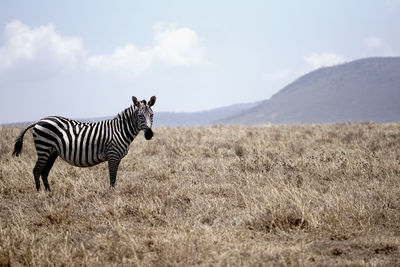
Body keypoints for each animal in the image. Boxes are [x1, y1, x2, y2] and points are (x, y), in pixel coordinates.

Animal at [10, 95, 155, 192]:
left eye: (152, 115)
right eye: (140, 116)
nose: (149, 134)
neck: (120, 130)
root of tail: (39, 121)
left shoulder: (117, 157)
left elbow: (114, 175)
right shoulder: (113, 155)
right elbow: (112, 176)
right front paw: (112, 193)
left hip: (52, 152)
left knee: (44, 172)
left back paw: (48, 192)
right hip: (43, 148)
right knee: (36, 170)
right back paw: (39, 193)